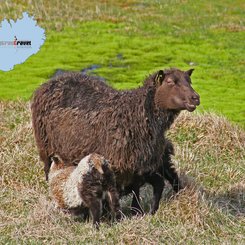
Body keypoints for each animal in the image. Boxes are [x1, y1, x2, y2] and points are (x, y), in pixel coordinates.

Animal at [31, 67, 200, 214]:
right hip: (44, 147)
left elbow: (137, 188)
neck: (135, 114)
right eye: (170, 82)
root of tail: (50, 81)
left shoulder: (138, 163)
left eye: (189, 80)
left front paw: (136, 211)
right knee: (48, 170)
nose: (196, 98)